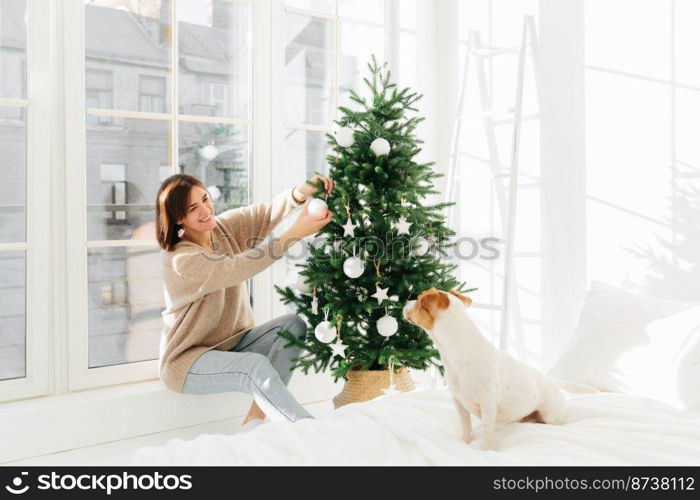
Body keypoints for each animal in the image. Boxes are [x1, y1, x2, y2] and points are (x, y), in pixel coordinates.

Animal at [404, 288, 596, 452]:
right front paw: (465, 442)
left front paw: (488, 450)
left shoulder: (488, 404)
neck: (459, 353)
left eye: (419, 300)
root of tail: (552, 381)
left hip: (551, 414)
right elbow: (465, 425)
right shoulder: (459, 402)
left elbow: (488, 431)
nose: (406, 300)